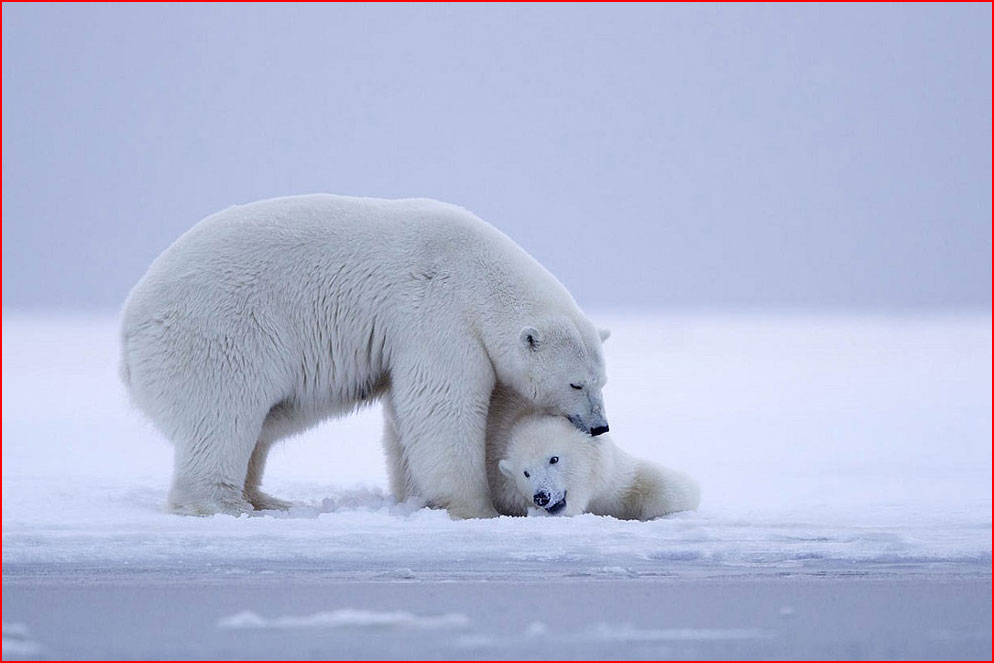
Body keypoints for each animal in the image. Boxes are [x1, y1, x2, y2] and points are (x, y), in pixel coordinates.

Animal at [120, 193, 608, 520]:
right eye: (576, 383)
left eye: (602, 381)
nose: (600, 426)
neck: (475, 270)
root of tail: (129, 328)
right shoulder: (438, 314)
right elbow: (440, 405)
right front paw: (476, 507)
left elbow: (404, 418)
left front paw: (415, 497)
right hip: (217, 333)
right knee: (224, 413)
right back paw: (225, 504)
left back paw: (265, 498)